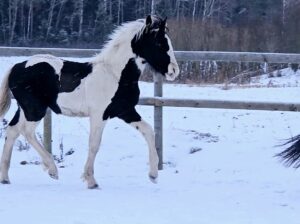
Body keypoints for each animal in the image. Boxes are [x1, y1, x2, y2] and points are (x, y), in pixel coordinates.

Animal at [0, 14, 179, 188]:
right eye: (159, 43)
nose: (174, 71)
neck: (115, 74)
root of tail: (16, 67)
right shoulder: (99, 115)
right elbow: (94, 144)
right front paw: (91, 181)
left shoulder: (125, 111)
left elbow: (148, 131)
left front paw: (153, 175)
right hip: (35, 109)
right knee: (26, 132)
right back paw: (52, 170)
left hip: (25, 109)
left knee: (12, 130)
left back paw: (5, 178)